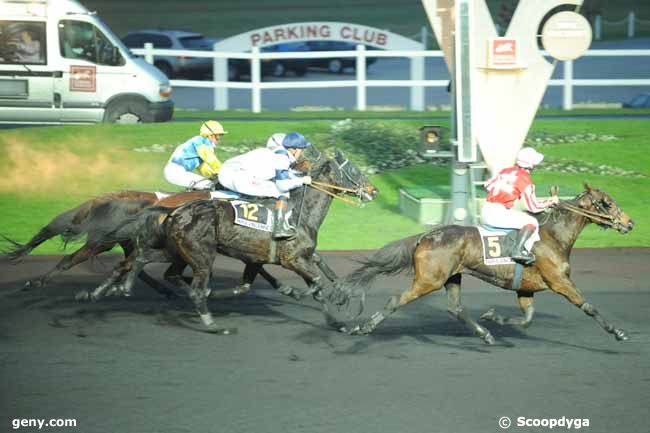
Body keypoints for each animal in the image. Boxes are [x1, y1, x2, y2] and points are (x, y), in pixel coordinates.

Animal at [340, 185, 632, 344]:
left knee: (455, 308)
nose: (629, 223)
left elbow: (527, 318)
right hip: (429, 280)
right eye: (607, 203)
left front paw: (494, 317)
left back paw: (486, 334)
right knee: (396, 300)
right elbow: (589, 307)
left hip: (452, 277)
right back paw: (363, 327)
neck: (553, 236)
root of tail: (427, 235)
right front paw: (618, 332)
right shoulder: (560, 281)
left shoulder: (525, 288)